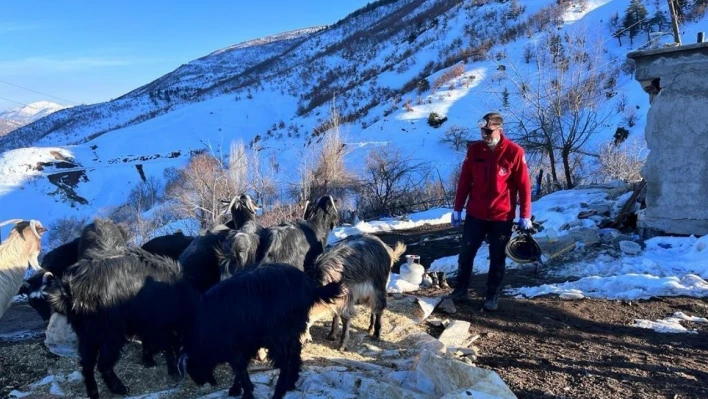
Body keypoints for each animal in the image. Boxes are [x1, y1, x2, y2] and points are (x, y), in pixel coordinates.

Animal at [178, 262, 342, 399]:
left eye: (192, 366)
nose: (200, 382)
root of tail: (309, 287)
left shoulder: (234, 347)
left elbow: (240, 368)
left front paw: (246, 393)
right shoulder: (247, 343)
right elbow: (241, 368)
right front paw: (237, 389)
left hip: (279, 335)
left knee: (286, 361)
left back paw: (278, 393)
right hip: (293, 329)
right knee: (296, 353)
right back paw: (291, 383)